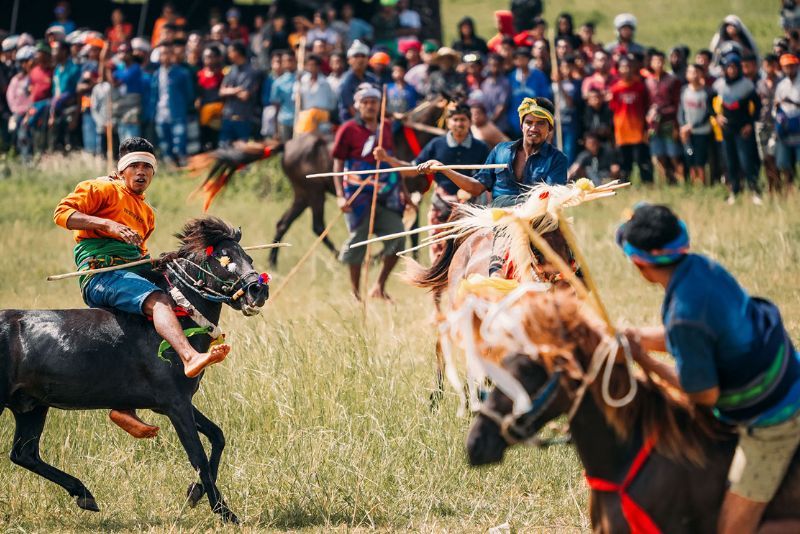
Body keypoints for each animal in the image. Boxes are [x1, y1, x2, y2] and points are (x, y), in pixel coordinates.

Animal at [0, 216, 268, 524]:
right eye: (226, 258)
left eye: (249, 257)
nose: (258, 290)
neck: (180, 318)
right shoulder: (174, 404)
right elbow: (198, 456)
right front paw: (225, 512)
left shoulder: (168, 403)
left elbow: (217, 437)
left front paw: (195, 493)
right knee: (23, 453)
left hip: (31, 406)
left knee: (24, 453)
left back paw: (84, 494)